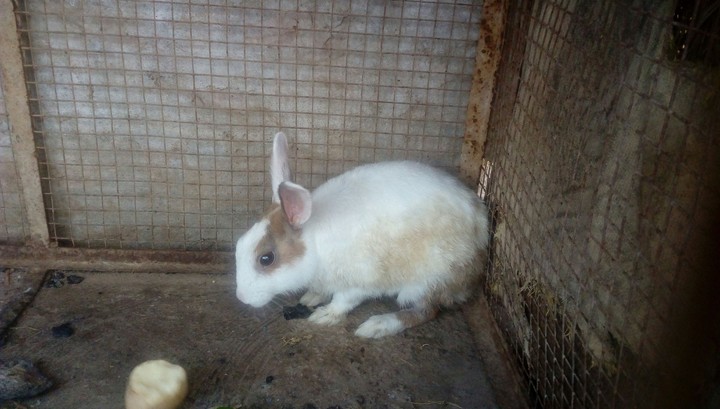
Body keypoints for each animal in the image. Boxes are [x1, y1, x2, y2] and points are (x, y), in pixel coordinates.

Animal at [235, 132, 489, 338]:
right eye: (238, 244)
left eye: (266, 259)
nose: (242, 298)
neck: (315, 242)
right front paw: (311, 297)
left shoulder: (359, 281)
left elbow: (343, 301)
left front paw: (324, 316)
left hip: (427, 282)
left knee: (425, 311)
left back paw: (377, 326)